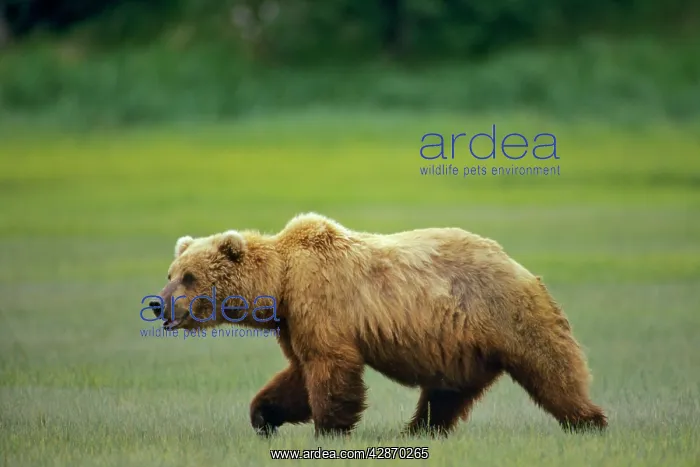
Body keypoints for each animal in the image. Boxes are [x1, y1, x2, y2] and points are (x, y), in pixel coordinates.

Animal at [148, 212, 607, 438]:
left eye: (189, 277)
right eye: (171, 272)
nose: (157, 304)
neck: (281, 284)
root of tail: (520, 266)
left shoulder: (320, 303)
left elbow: (330, 366)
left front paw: (329, 428)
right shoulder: (294, 321)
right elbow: (298, 373)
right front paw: (264, 415)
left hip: (507, 314)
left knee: (551, 368)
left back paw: (589, 422)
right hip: (461, 347)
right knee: (447, 394)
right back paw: (420, 431)